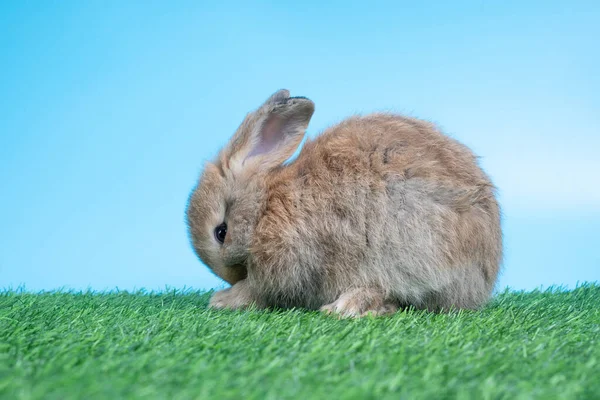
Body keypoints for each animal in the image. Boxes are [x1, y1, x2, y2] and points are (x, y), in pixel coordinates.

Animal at [184, 89, 502, 318]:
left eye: (221, 232)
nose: (230, 277)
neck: (265, 206)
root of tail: (481, 279)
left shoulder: (287, 264)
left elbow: (258, 290)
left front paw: (224, 300)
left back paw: (345, 308)